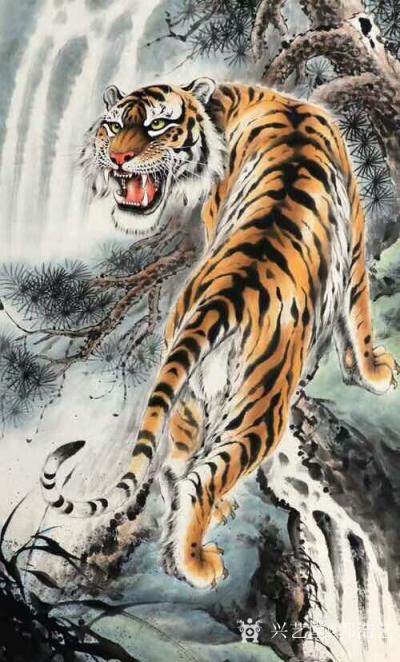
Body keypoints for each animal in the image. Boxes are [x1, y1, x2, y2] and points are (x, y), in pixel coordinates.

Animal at [41, 77, 399, 589]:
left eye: (157, 124)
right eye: (112, 125)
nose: (118, 157)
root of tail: (225, 298)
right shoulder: (353, 229)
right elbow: (359, 313)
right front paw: (375, 372)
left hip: (192, 392)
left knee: (176, 468)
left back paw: (190, 541)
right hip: (262, 408)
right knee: (202, 478)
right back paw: (197, 565)